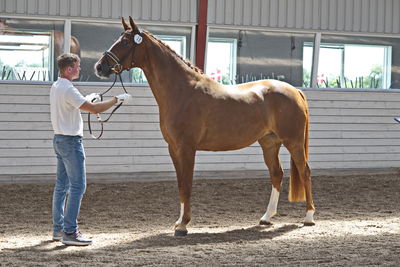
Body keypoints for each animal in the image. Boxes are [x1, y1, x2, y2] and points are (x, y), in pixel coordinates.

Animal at [94, 16, 316, 236]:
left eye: (125, 42)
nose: (99, 67)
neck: (182, 90)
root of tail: (295, 91)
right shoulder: (173, 148)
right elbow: (180, 184)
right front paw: (179, 222)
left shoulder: (187, 148)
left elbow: (187, 183)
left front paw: (184, 225)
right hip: (269, 143)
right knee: (276, 174)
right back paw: (266, 218)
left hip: (293, 142)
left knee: (304, 171)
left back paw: (309, 217)